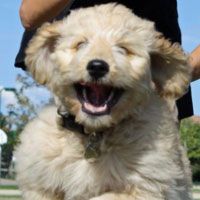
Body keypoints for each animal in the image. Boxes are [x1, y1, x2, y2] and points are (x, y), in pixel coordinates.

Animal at [14, 3, 193, 200]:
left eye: (124, 48)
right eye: (81, 44)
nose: (97, 67)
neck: (93, 133)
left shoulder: (146, 187)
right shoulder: (39, 185)